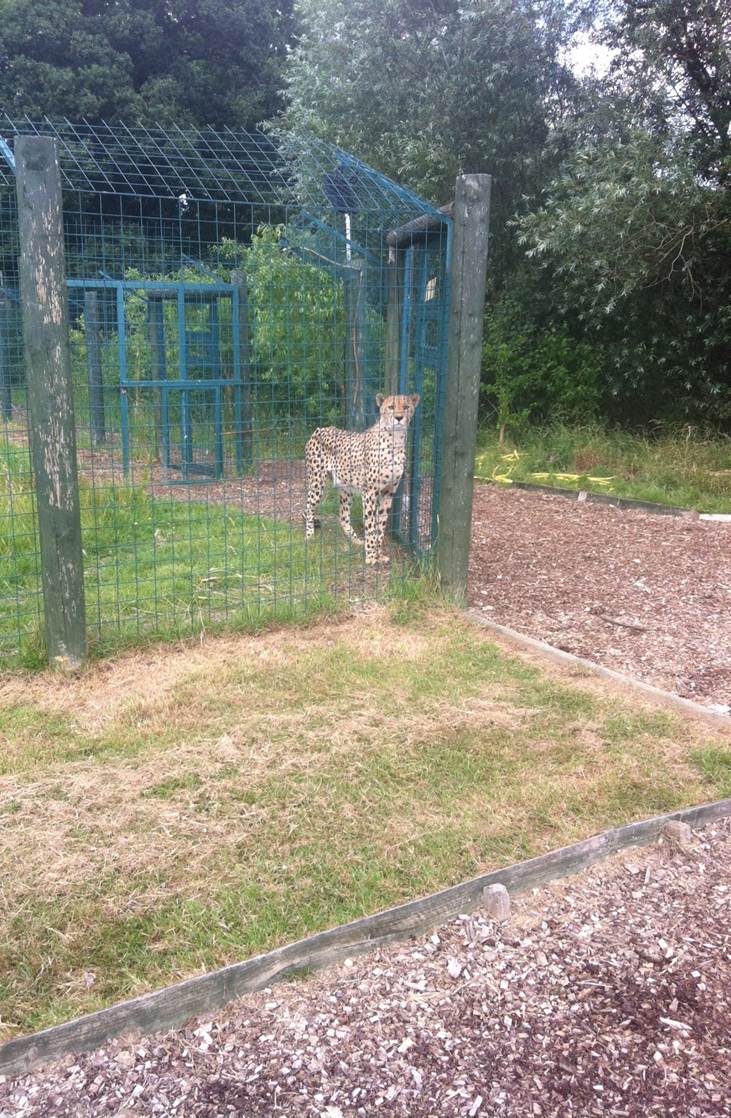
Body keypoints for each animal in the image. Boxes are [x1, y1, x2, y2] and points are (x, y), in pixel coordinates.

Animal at [304, 393, 420, 565]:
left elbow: (381, 525)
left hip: (345, 487)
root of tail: (320, 428)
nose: (399, 418)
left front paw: (379, 554)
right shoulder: (370, 492)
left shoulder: (388, 492)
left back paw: (355, 540)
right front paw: (371, 556)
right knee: (308, 507)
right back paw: (309, 535)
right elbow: (371, 525)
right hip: (317, 482)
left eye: (406, 407)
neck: (395, 441)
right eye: (391, 407)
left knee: (343, 515)